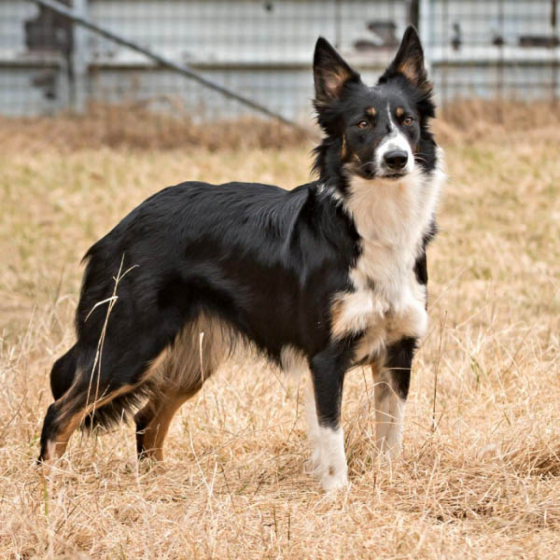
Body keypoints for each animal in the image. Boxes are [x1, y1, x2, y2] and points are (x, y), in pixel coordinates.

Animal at [38, 27, 446, 490]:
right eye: (363, 124)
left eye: (407, 120)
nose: (397, 158)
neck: (372, 222)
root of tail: (120, 228)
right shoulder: (325, 358)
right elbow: (332, 438)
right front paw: (337, 494)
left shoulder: (398, 351)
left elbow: (391, 437)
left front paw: (387, 482)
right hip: (129, 345)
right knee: (60, 412)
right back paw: (48, 486)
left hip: (191, 359)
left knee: (147, 417)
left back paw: (158, 483)